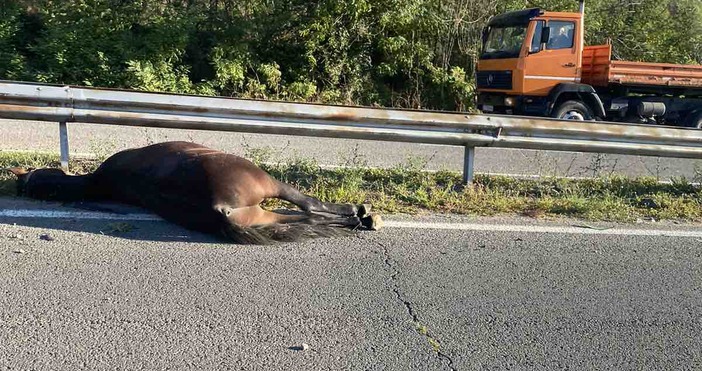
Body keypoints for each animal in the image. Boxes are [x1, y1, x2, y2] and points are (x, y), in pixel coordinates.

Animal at [8, 140, 382, 244]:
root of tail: (217, 205)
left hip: (259, 213)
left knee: (299, 220)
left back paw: (358, 221)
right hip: (269, 186)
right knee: (307, 207)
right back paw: (359, 216)